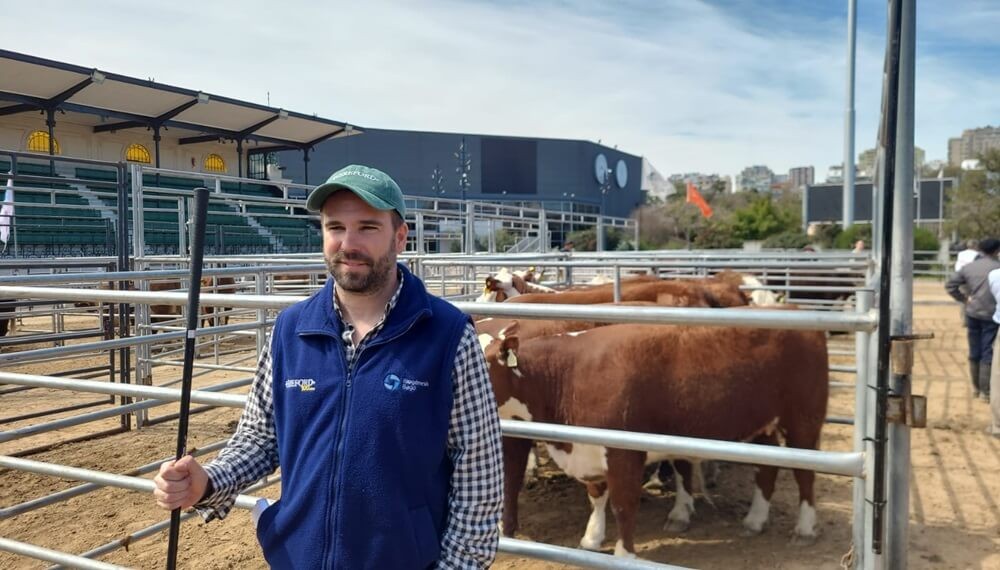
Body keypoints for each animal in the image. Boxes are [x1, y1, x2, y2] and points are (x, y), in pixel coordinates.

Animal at [484, 322, 828, 556]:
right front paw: (591, 538)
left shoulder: (623, 452)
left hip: (804, 422)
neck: (564, 375)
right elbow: (597, 496)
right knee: (766, 470)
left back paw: (805, 529)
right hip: (762, 428)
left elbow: (623, 505)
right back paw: (755, 520)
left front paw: (623, 554)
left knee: (805, 476)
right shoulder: (588, 448)